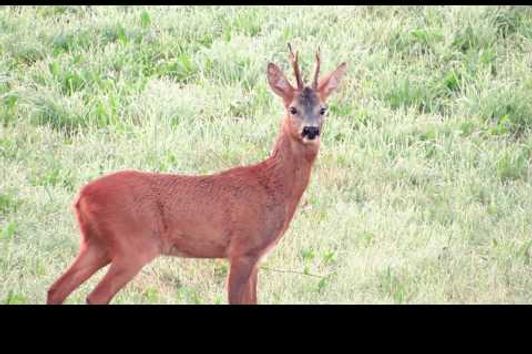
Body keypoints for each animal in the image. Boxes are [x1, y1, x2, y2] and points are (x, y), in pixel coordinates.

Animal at [47, 44, 348, 304]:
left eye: (323, 109)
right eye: (292, 108)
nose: (311, 130)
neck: (272, 186)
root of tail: (81, 197)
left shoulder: (256, 258)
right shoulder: (242, 249)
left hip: (97, 244)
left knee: (56, 288)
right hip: (132, 245)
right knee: (94, 296)